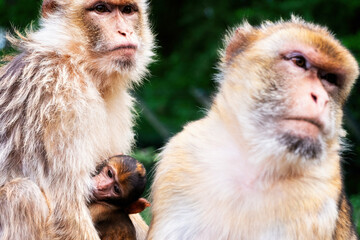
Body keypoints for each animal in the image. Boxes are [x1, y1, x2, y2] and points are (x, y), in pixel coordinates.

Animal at [0, 0, 153, 238]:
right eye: (101, 9)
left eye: (127, 10)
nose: (125, 31)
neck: (76, 62)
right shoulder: (60, 94)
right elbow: (66, 211)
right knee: (22, 194)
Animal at [148, 15, 358, 239]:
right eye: (299, 62)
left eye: (330, 78)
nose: (321, 98)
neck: (256, 164)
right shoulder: (181, 159)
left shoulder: (319, 190)